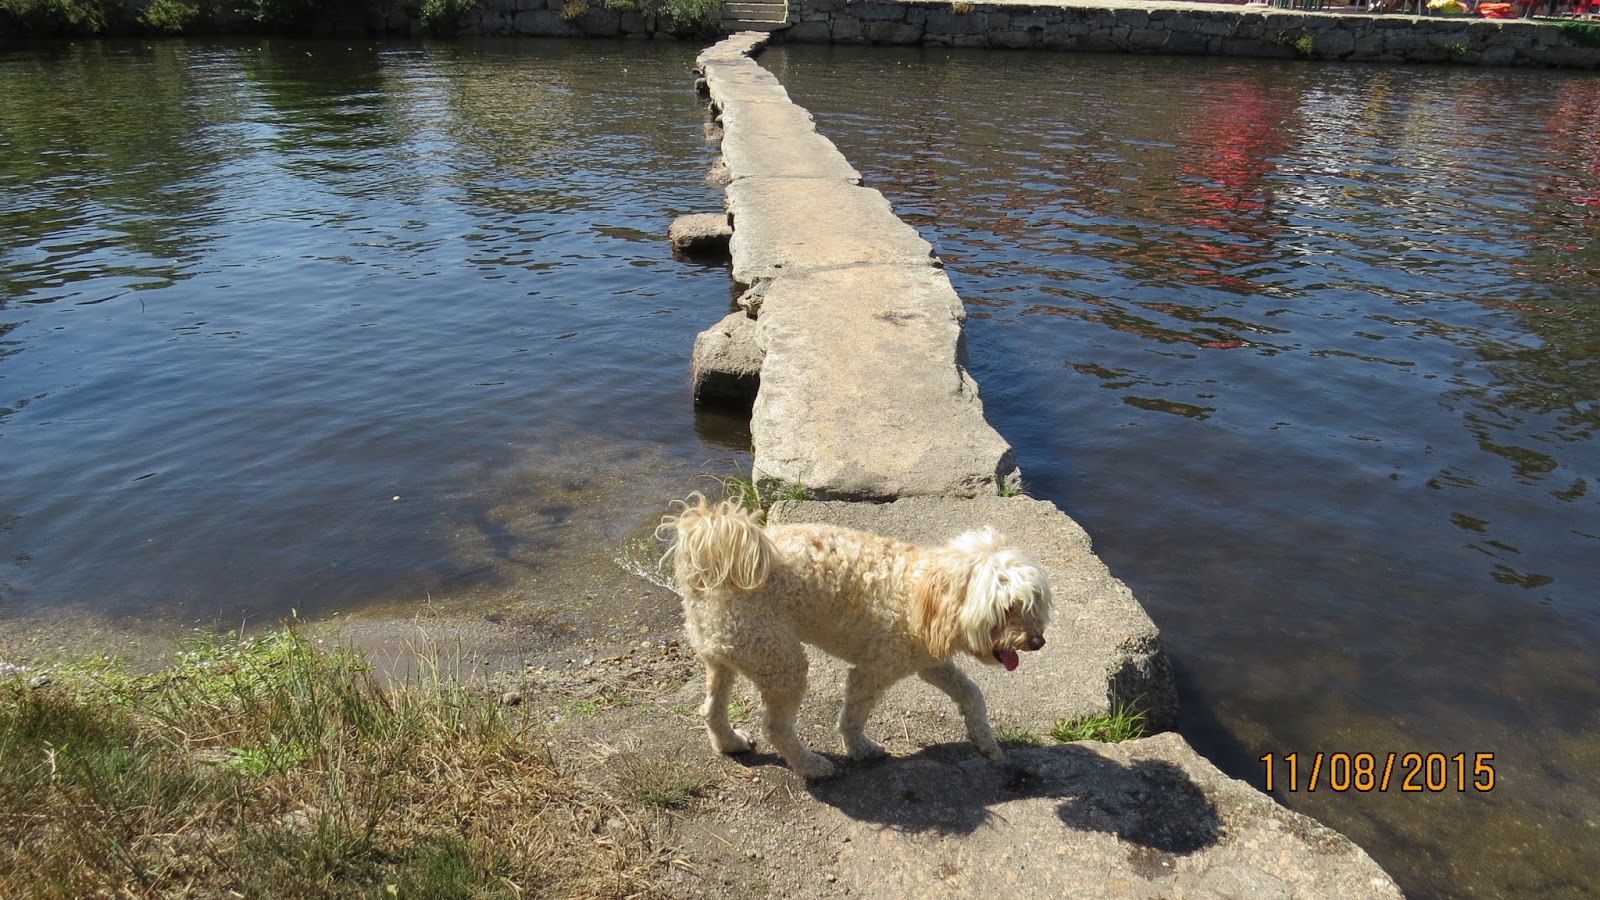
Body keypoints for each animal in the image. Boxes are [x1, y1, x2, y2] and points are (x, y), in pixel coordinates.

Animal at [658, 493, 1052, 779]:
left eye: (1032, 604)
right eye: (1005, 609)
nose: (1037, 642)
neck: (921, 595)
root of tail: (712, 573)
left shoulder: (930, 663)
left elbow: (971, 692)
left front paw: (984, 739)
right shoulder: (872, 671)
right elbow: (853, 714)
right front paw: (859, 749)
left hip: (724, 657)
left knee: (711, 709)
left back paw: (731, 743)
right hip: (782, 663)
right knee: (776, 727)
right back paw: (811, 767)